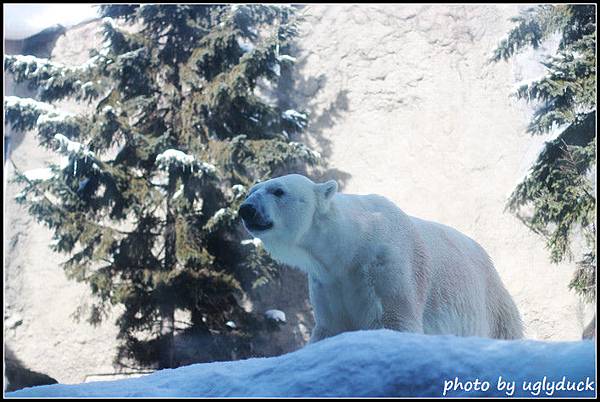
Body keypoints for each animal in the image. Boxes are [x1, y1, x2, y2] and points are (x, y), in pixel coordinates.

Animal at [238, 174, 520, 342]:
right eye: (252, 190)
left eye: (278, 191)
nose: (246, 209)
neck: (349, 247)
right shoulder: (327, 282)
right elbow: (331, 326)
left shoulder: (384, 266)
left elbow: (394, 319)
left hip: (493, 308)